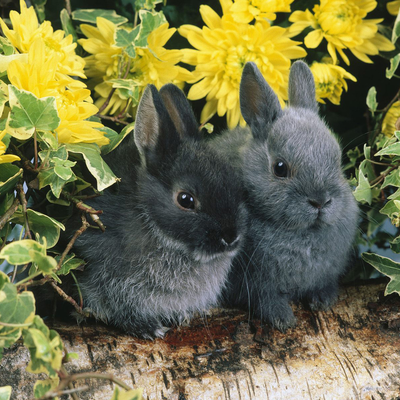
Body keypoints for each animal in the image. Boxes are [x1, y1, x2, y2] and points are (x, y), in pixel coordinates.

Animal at [219, 61, 360, 330]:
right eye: (280, 168)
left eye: (337, 159)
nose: (320, 201)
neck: (300, 233)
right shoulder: (251, 283)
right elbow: (264, 298)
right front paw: (282, 318)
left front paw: (323, 300)